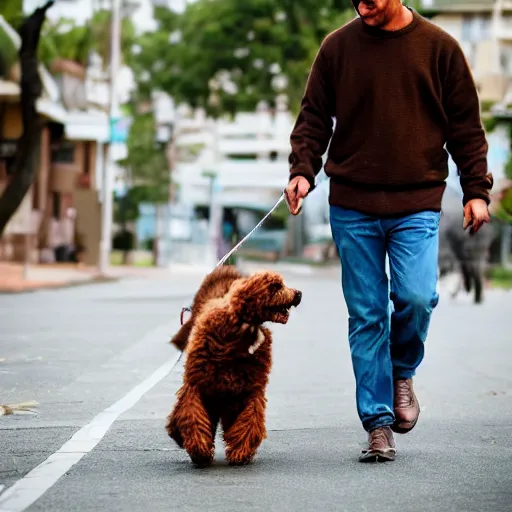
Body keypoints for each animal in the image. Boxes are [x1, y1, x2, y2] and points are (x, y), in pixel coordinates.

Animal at [165, 268, 300, 468]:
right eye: (276, 286)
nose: (298, 294)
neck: (240, 331)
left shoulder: (249, 390)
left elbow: (249, 421)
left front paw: (240, 452)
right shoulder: (198, 386)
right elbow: (193, 417)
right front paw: (199, 450)